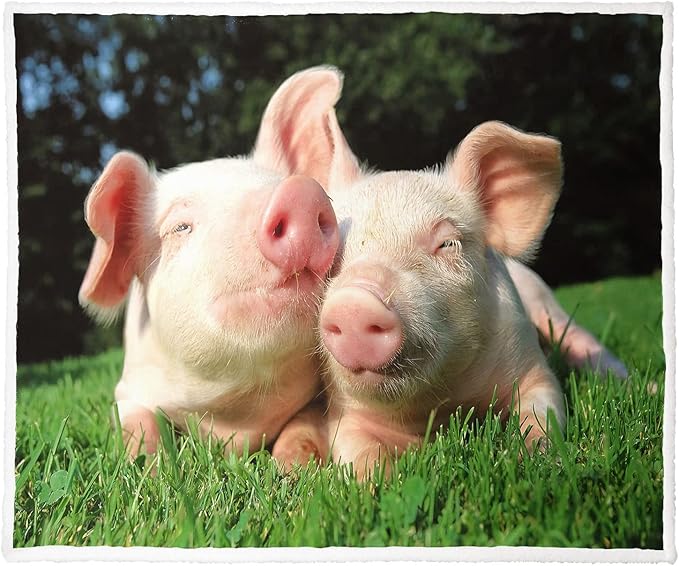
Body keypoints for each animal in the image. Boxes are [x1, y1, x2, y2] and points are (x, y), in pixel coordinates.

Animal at [78, 67, 348, 458]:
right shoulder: (127, 389)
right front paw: (148, 465)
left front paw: (294, 466)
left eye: (282, 183)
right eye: (180, 227)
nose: (300, 193)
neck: (233, 417)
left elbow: (302, 427)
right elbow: (139, 425)